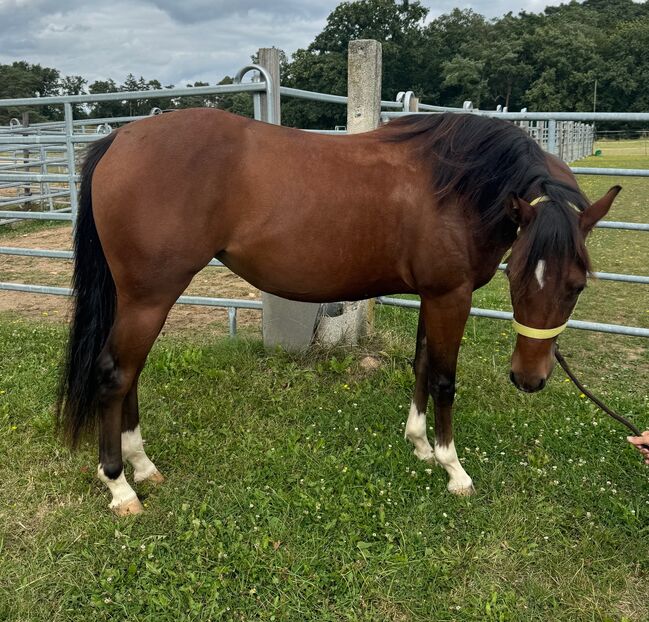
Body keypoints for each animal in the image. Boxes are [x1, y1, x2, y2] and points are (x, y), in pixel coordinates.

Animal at [58, 108, 620, 516]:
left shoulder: (431, 295)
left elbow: (420, 364)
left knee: (129, 375)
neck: (457, 183)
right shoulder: (450, 295)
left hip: (140, 301)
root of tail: (121, 140)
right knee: (115, 375)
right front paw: (453, 468)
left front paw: (418, 444)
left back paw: (142, 466)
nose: (529, 379)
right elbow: (443, 378)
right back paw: (120, 487)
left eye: (575, 286)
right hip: (150, 298)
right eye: (516, 275)